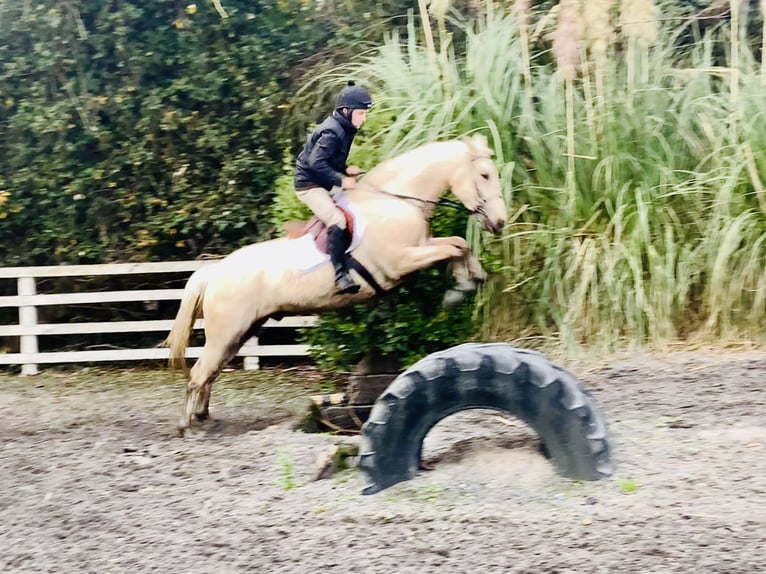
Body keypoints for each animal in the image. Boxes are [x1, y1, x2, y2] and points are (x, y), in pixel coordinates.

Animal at [164, 133, 507, 436]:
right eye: (485, 175)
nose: (500, 222)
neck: (394, 202)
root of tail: (214, 272)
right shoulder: (403, 260)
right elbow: (455, 246)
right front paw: (459, 289)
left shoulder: (421, 246)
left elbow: (458, 243)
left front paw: (470, 279)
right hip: (227, 332)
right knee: (200, 372)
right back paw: (186, 426)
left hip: (240, 332)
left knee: (211, 372)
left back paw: (204, 419)